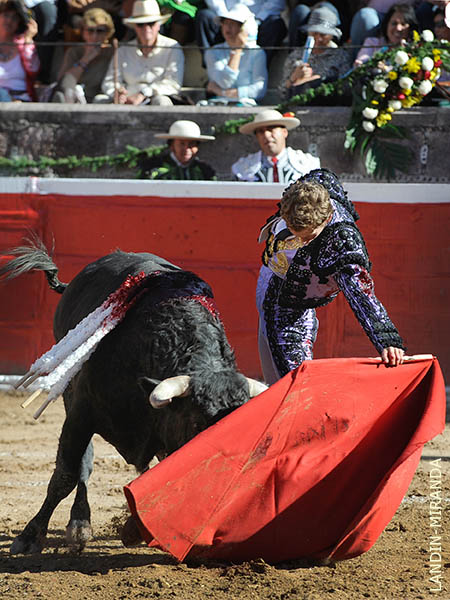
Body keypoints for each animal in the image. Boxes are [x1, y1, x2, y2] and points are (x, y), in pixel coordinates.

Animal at [0, 239, 267, 555]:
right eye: (196, 423)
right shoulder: (81, 413)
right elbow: (66, 474)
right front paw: (29, 536)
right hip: (70, 397)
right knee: (83, 465)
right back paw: (79, 524)